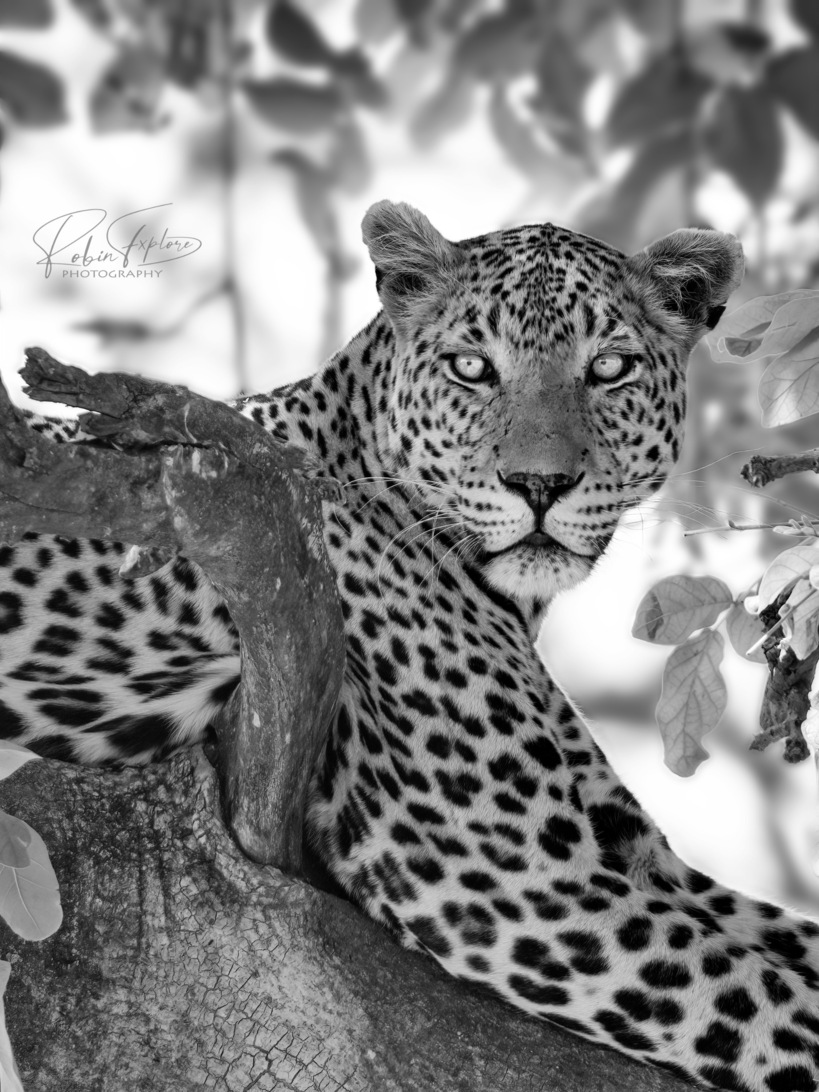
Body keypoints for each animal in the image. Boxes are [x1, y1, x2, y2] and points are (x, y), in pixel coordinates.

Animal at [3, 199, 818, 1092]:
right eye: (471, 367)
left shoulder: (627, 850)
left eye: (608, 369)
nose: (538, 485)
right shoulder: (506, 873)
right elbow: (775, 1006)